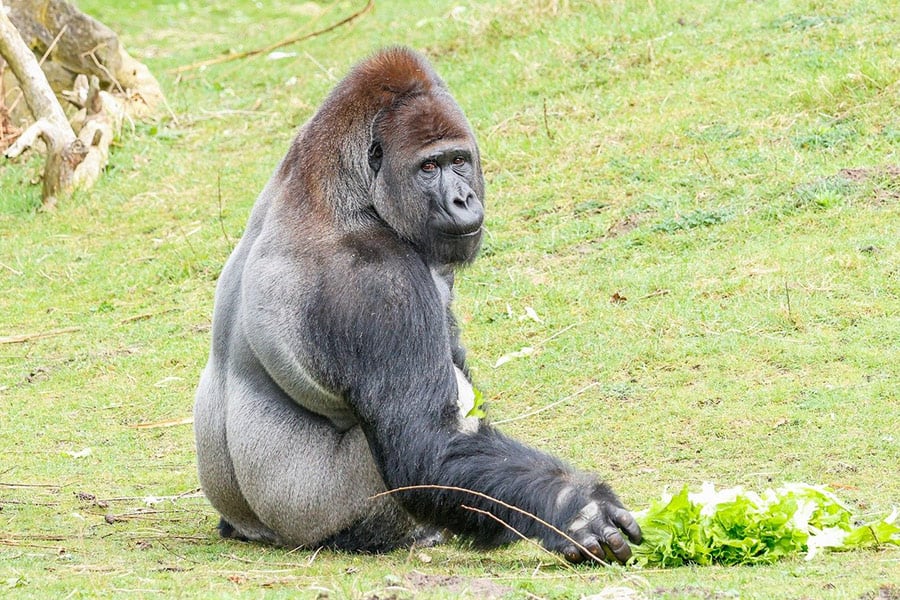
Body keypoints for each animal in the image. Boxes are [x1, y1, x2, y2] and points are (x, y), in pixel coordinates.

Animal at [193, 46, 642, 563]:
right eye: (429, 168)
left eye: (459, 161)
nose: (462, 198)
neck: (342, 184)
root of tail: (250, 528)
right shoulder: (377, 281)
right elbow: (427, 444)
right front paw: (572, 506)